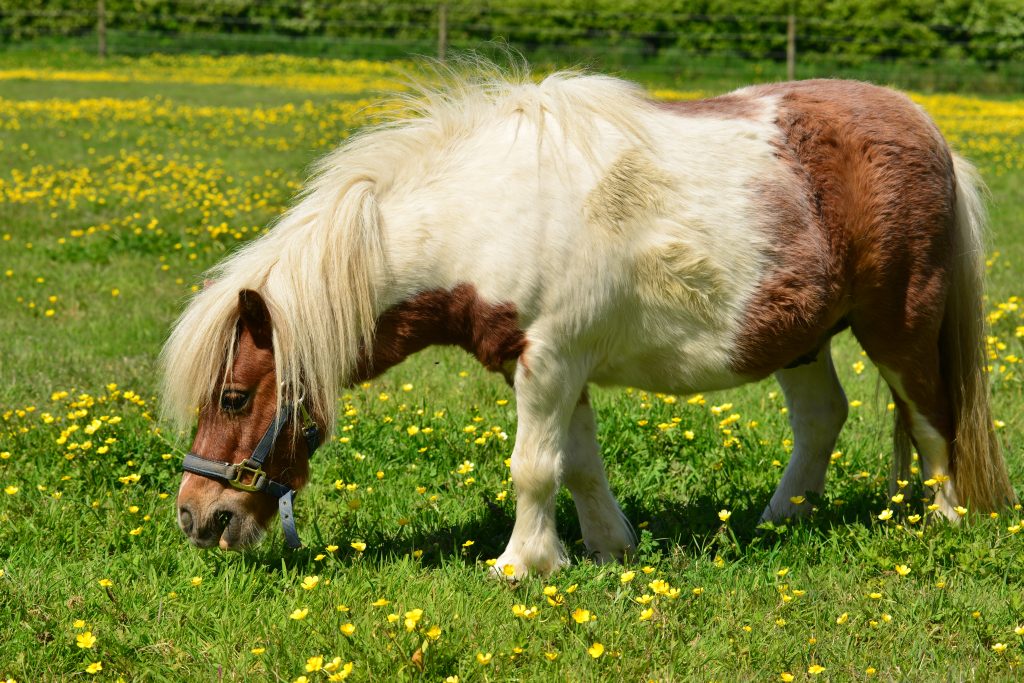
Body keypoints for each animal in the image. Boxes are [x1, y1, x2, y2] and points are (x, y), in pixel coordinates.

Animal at [163, 67, 1016, 577]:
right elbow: (577, 464)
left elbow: (533, 467)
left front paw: (521, 566)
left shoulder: (547, 359)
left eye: (234, 397)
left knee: (932, 415)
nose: (196, 517)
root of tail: (930, 133)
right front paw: (608, 547)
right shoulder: (546, 364)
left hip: (900, 322)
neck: (485, 213)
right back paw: (776, 522)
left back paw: (943, 522)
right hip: (802, 336)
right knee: (822, 418)